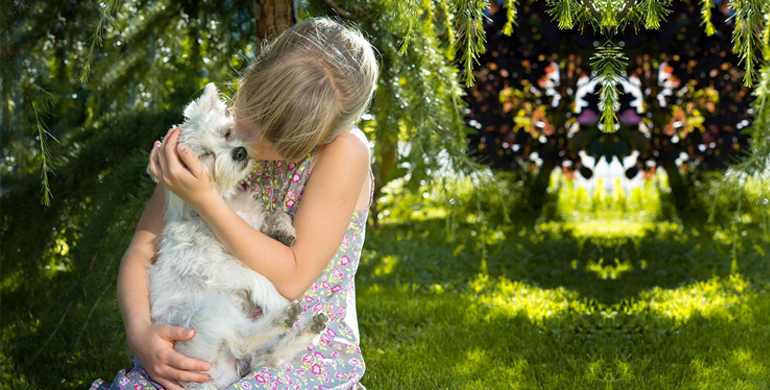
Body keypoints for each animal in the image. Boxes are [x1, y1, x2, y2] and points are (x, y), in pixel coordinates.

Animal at [147, 83, 328, 390]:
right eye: (204, 155)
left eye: (227, 133)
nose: (240, 152)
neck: (226, 203)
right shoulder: (213, 265)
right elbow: (257, 276)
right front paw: (275, 299)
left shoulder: (251, 229)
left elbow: (276, 215)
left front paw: (283, 230)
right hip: (207, 313)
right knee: (243, 340)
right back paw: (284, 315)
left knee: (271, 356)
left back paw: (307, 330)